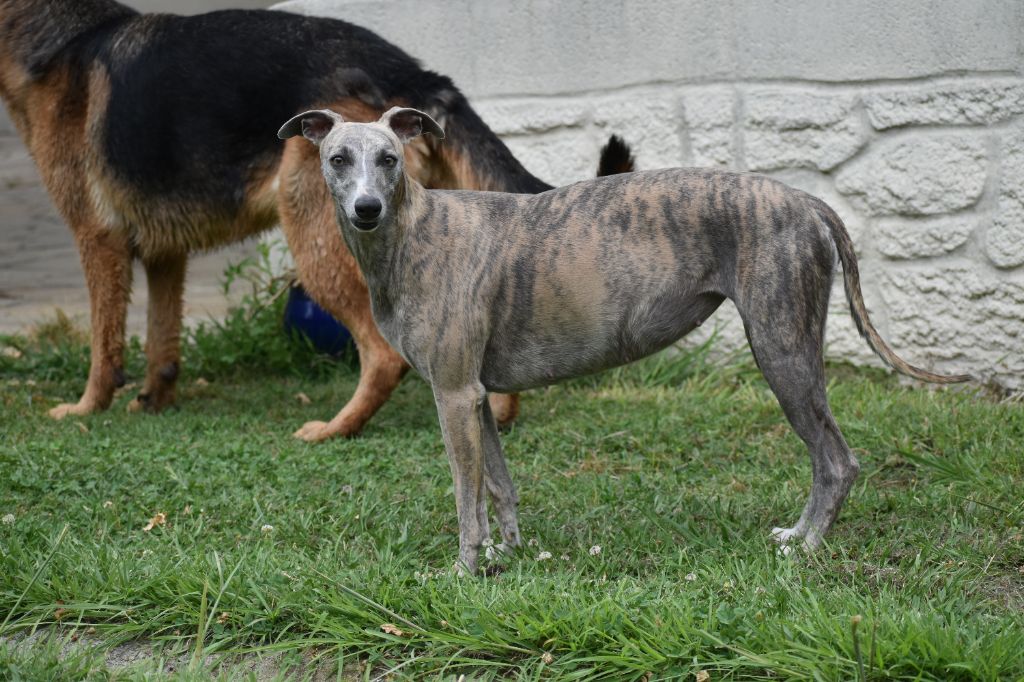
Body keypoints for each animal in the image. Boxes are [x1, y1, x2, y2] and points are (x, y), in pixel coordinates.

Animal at [0, 0, 630, 440]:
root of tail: (415, 72)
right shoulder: (163, 255)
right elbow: (162, 338)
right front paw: (155, 399)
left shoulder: (98, 240)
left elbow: (104, 343)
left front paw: (87, 407)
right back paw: (496, 415)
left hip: (314, 237)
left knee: (381, 354)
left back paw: (337, 429)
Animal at [278, 107, 966, 573]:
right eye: (338, 158)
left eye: (389, 158)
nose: (367, 209)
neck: (414, 233)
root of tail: (806, 200)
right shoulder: (475, 397)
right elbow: (498, 487)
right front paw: (508, 556)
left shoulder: (451, 394)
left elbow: (465, 501)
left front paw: (464, 571)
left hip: (783, 353)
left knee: (837, 462)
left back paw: (807, 543)